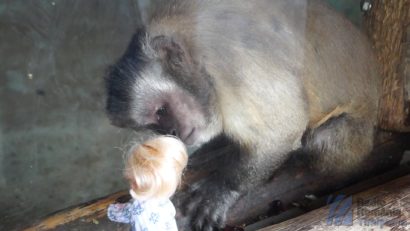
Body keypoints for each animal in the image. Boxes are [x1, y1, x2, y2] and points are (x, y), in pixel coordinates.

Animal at [104, 0, 380, 230]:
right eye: (154, 125)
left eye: (162, 110)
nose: (172, 131)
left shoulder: (235, 68)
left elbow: (283, 131)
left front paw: (224, 188)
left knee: (319, 140)